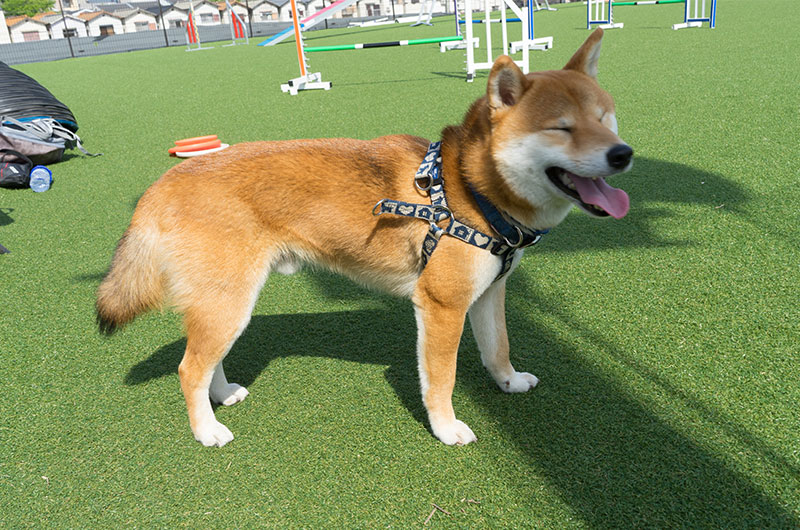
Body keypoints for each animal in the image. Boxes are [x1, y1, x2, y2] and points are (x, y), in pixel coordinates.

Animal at [97, 28, 632, 448]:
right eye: (561, 128)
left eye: (605, 118)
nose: (623, 154)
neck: (473, 189)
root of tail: (163, 184)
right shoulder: (441, 305)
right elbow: (441, 379)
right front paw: (446, 429)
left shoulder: (487, 293)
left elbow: (497, 347)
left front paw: (508, 381)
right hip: (228, 300)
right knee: (190, 369)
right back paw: (207, 429)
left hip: (226, 303)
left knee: (208, 361)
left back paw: (222, 395)